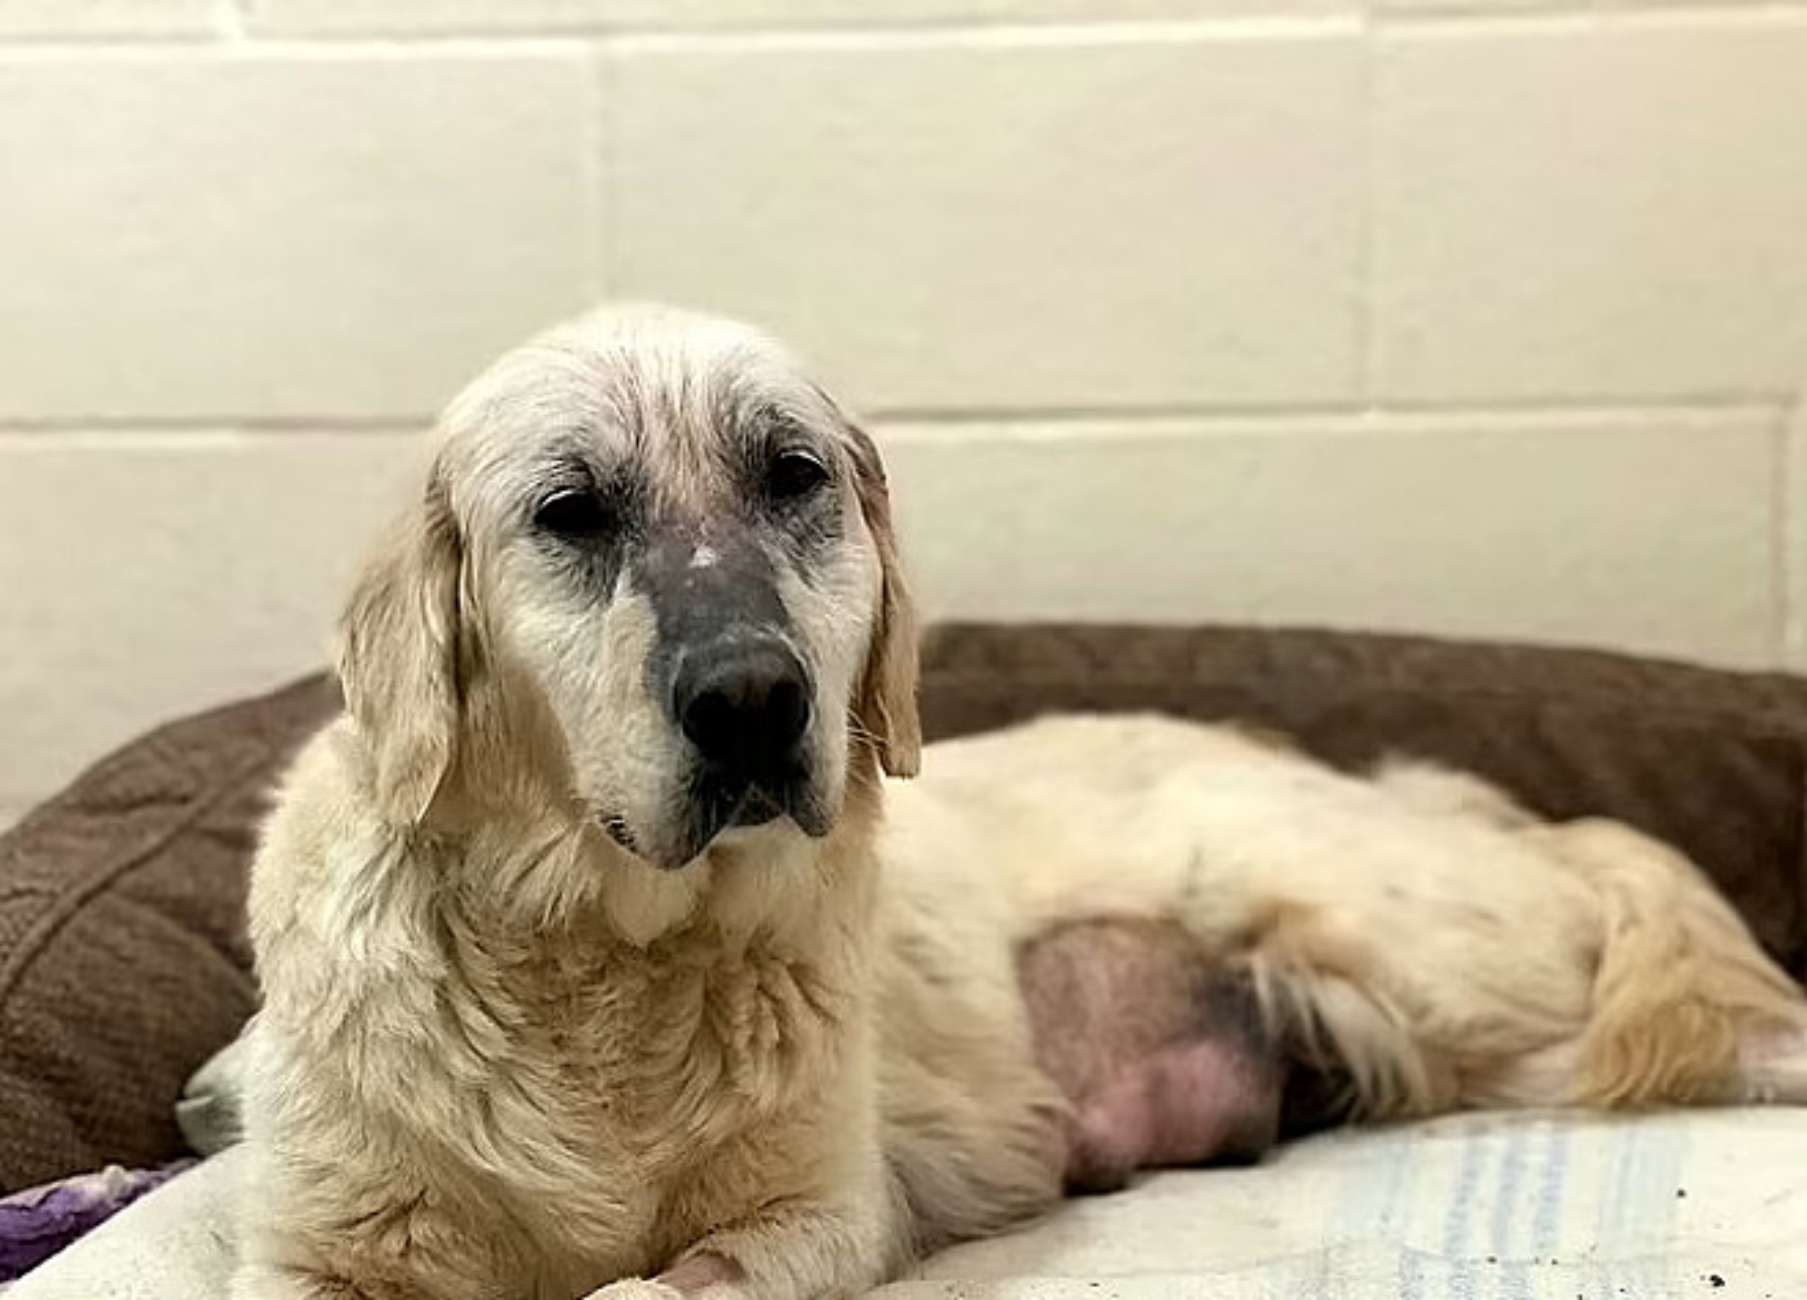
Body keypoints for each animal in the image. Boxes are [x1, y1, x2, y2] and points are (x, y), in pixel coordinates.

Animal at [233, 307, 1807, 1300]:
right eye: (570, 512)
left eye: (791, 476)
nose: (752, 700)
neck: (603, 964)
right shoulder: (314, 1255)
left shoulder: (817, 1215)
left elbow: (662, 1285)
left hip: (1449, 986)